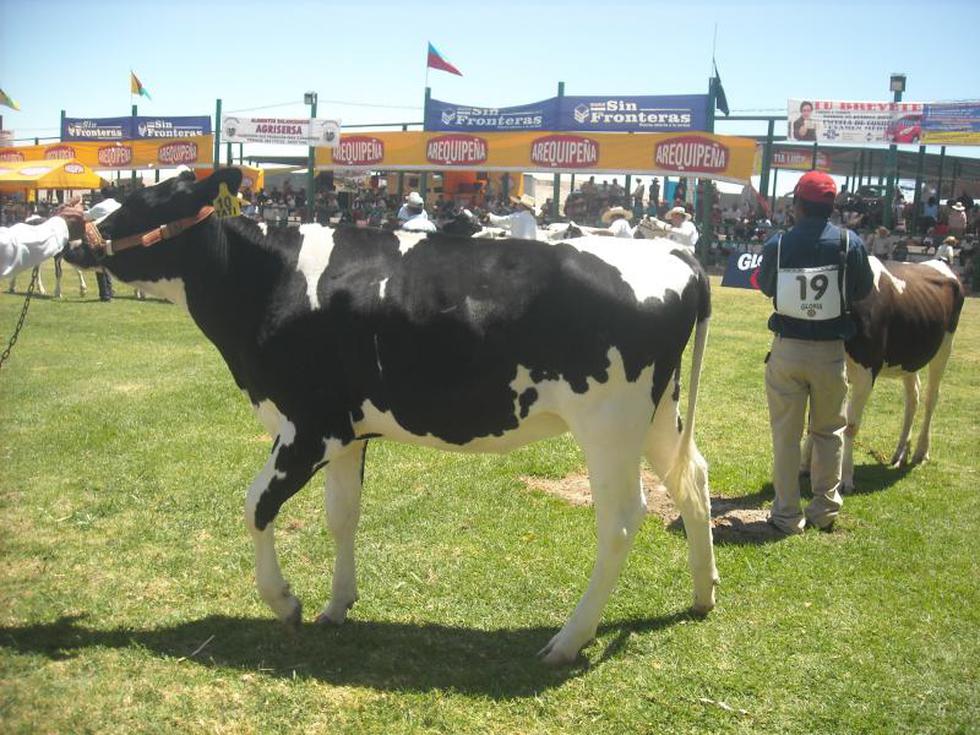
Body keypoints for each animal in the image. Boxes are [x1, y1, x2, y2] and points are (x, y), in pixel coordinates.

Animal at [64, 168, 717, 665]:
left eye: (148, 199)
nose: (73, 232)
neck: (270, 281)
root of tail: (675, 254)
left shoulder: (308, 424)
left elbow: (255, 505)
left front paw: (285, 601)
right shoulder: (347, 432)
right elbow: (341, 515)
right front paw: (336, 605)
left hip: (610, 423)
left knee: (622, 521)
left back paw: (568, 640)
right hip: (657, 414)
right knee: (693, 479)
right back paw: (703, 595)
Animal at [802, 256, 965, 491]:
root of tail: (939, 261)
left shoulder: (865, 372)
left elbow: (850, 426)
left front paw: (845, 478)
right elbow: (814, 421)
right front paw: (805, 466)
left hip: (944, 347)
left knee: (931, 398)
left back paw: (920, 452)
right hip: (909, 356)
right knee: (913, 397)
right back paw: (901, 452)